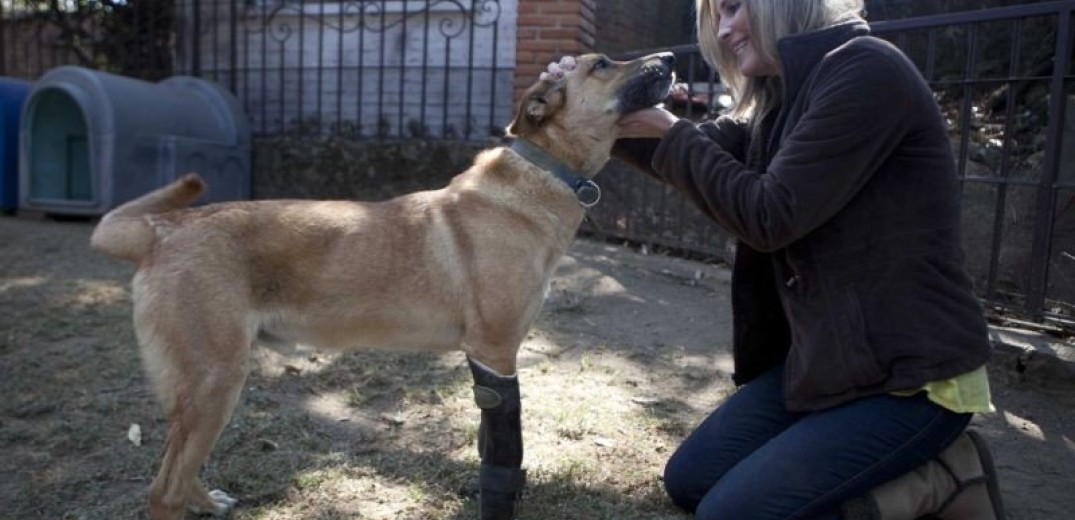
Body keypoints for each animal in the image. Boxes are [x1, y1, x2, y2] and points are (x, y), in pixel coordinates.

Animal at [92, 50, 670, 517]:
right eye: (602, 64)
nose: (669, 59)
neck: (542, 173)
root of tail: (164, 228)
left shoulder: (488, 360)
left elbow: (489, 444)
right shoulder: (496, 353)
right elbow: (505, 451)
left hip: (202, 392)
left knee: (177, 469)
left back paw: (208, 501)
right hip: (215, 382)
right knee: (163, 490)